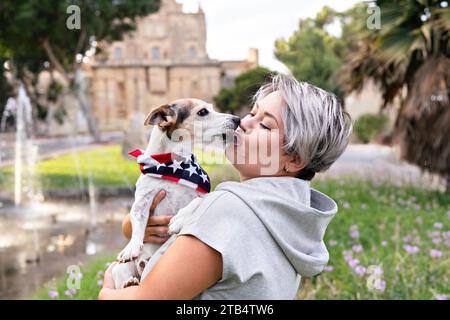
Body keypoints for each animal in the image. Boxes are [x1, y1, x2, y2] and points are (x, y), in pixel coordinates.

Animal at [112, 97, 239, 288]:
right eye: (203, 112)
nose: (237, 119)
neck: (172, 164)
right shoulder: (142, 202)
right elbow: (138, 223)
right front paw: (132, 247)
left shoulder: (202, 195)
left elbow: (196, 202)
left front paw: (178, 219)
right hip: (119, 268)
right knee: (122, 279)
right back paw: (130, 281)